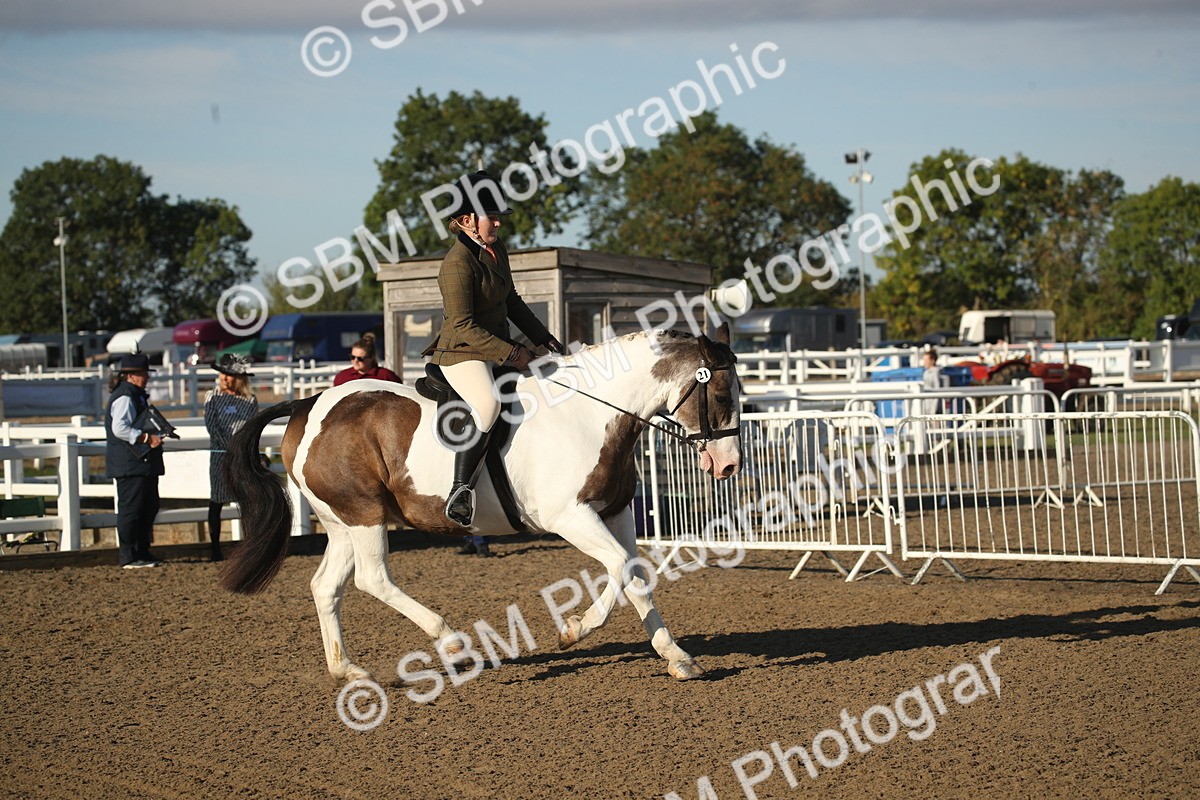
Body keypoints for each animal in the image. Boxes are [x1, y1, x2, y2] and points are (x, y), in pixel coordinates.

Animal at [218, 326, 742, 682]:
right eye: (720, 392)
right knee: (373, 578)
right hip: (363, 514)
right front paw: (574, 630)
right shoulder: (570, 517)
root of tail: (307, 405)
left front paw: (676, 656)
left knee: (327, 586)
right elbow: (618, 567)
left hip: (341, 521)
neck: (590, 413)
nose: (730, 465)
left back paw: (347, 669)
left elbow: (635, 574)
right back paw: (451, 641)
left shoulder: (615, 512)